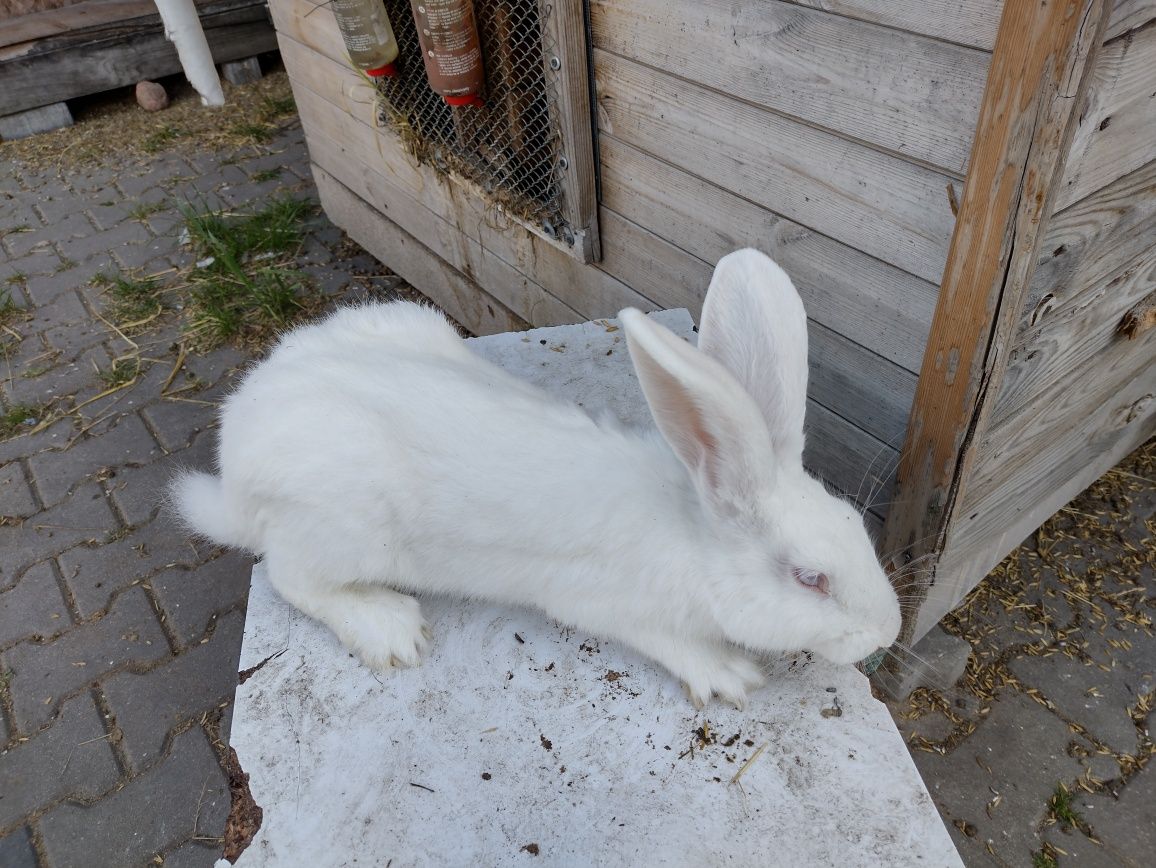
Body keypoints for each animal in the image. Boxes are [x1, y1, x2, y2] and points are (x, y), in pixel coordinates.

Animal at [171, 249, 897, 707]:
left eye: (857, 525)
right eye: (810, 579)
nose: (887, 632)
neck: (694, 529)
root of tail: (236, 454)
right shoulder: (605, 602)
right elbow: (671, 640)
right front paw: (728, 674)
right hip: (346, 524)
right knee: (290, 577)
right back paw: (388, 627)